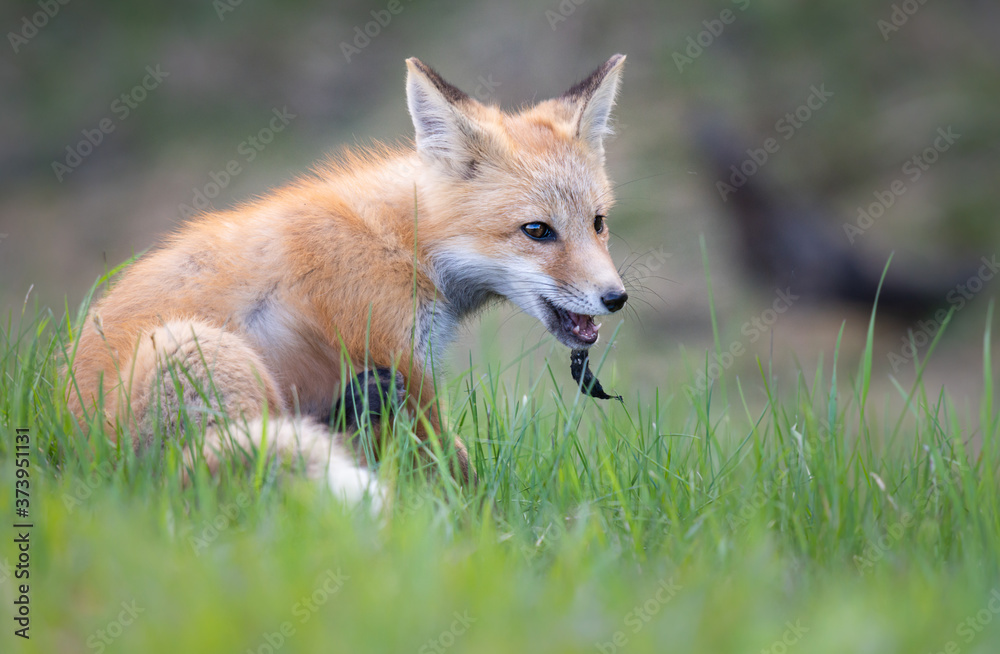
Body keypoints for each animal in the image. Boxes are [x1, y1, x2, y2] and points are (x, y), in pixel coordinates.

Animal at [66, 54, 629, 506]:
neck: (402, 244)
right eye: (537, 230)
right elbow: (457, 474)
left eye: (598, 223)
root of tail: (75, 451)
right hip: (194, 348)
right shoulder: (403, 364)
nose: (617, 298)